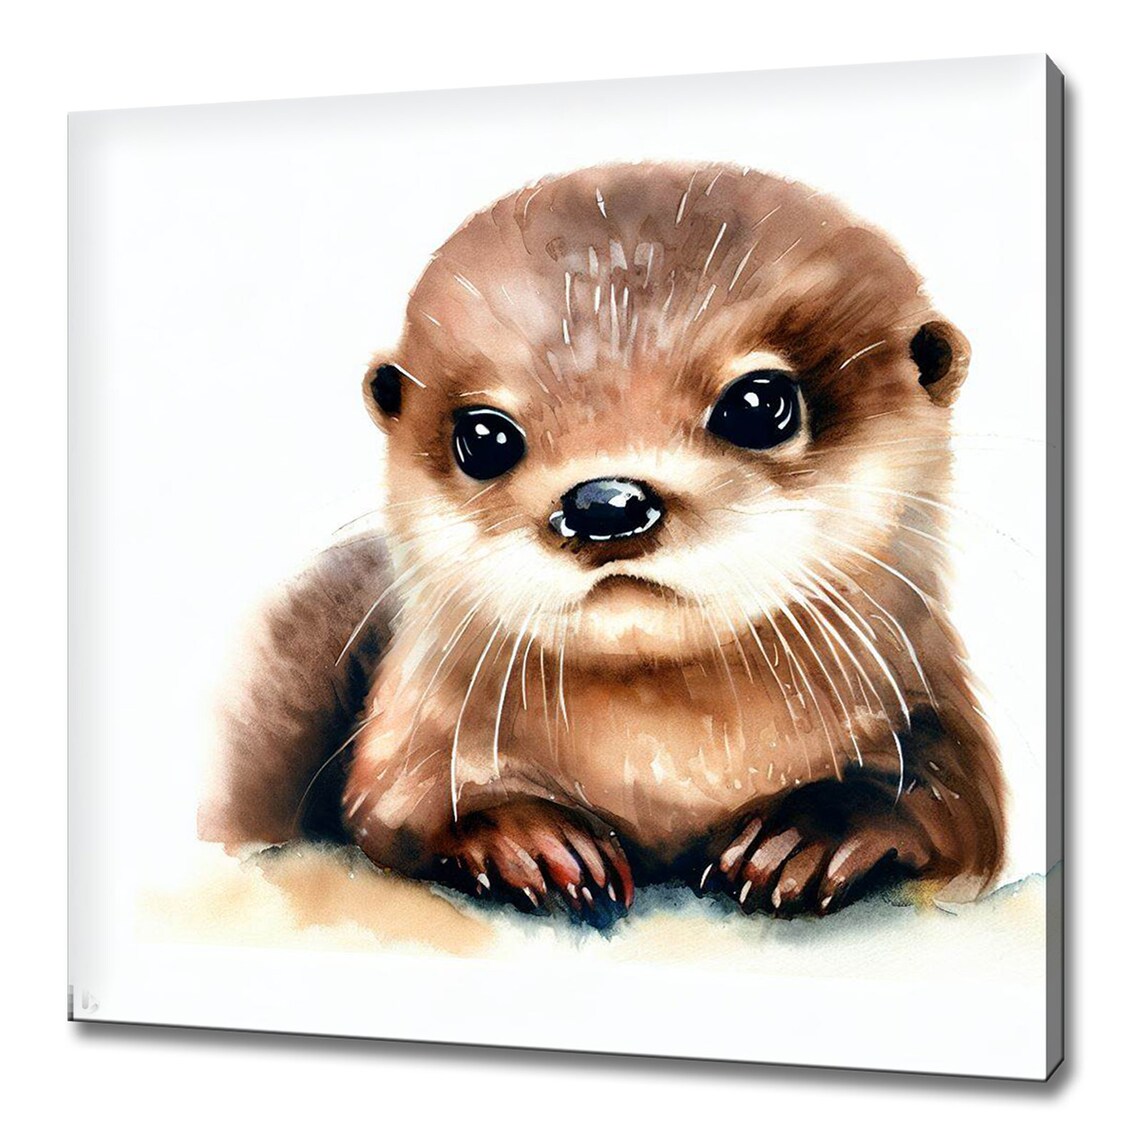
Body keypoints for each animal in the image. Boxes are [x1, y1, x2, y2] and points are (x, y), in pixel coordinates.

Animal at [201, 162, 1005, 928]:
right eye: (484, 437)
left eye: (758, 404)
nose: (605, 503)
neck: (664, 765)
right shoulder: (409, 728)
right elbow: (396, 808)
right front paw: (531, 837)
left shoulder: (933, 711)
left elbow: (955, 808)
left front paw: (808, 837)